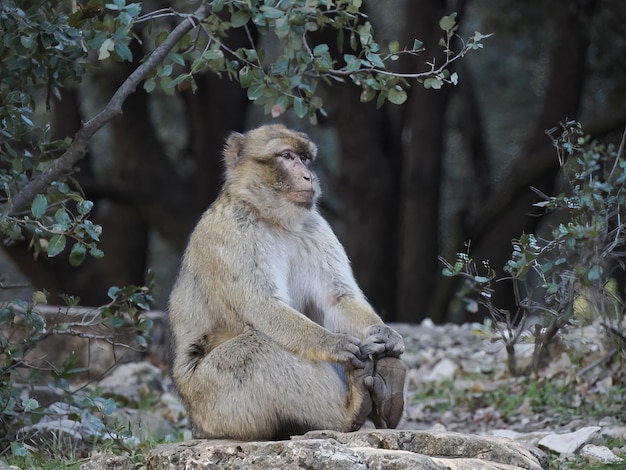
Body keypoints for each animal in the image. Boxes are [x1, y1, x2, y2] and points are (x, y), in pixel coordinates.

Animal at [168, 125, 408, 440]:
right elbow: (263, 306)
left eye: (305, 159)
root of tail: (197, 427)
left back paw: (387, 391)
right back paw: (348, 413)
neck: (271, 218)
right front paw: (334, 343)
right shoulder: (233, 232)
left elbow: (337, 298)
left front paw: (385, 334)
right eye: (286, 156)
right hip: (216, 407)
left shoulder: (316, 227)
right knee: (262, 346)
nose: (308, 176)